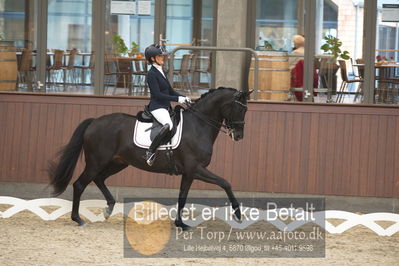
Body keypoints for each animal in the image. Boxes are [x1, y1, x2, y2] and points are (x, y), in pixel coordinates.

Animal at [48, 88, 252, 231]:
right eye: (238, 108)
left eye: (246, 109)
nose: (239, 136)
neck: (198, 125)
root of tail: (94, 121)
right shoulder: (196, 169)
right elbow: (225, 183)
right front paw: (238, 214)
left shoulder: (189, 173)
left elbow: (182, 197)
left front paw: (181, 224)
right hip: (97, 162)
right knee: (80, 184)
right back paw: (78, 219)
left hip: (118, 162)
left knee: (99, 179)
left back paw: (109, 208)